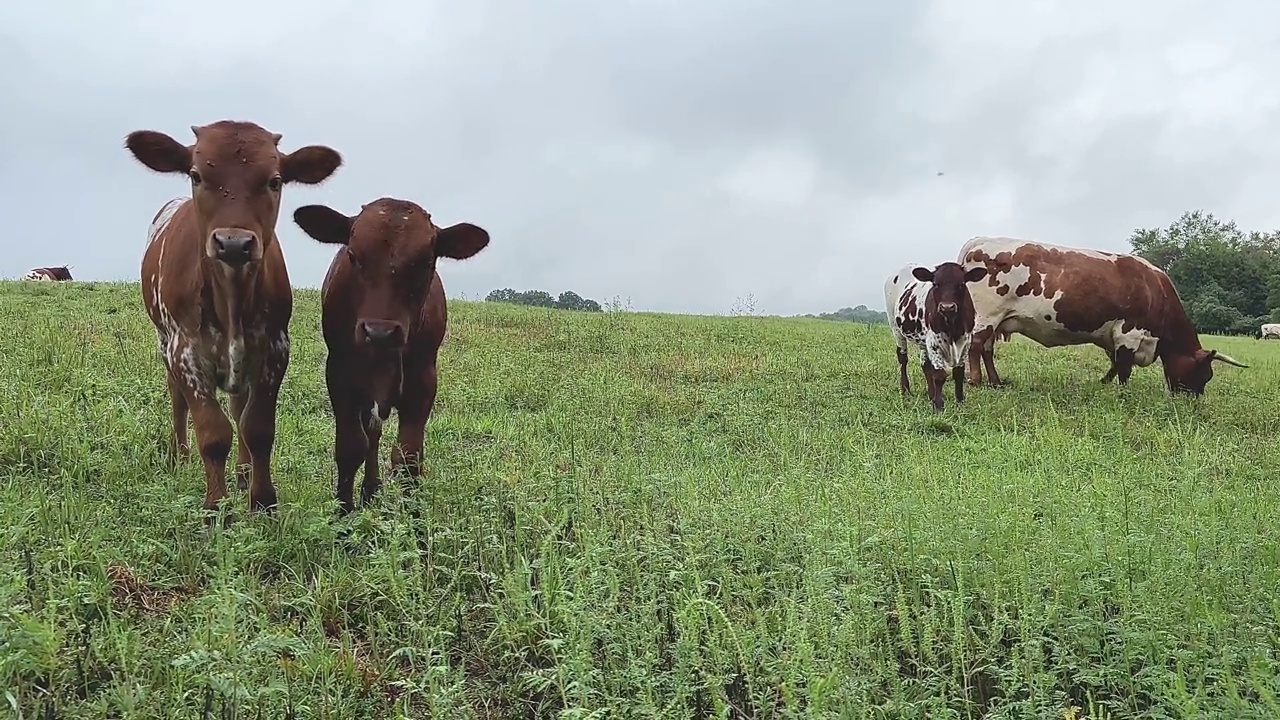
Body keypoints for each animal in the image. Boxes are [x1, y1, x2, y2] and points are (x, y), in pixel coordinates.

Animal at [124, 120, 343, 517]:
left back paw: (242, 474)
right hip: (164, 342)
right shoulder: (185, 351)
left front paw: (262, 501)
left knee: (239, 406)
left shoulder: (275, 348)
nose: (234, 244)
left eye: (274, 180)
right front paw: (216, 509)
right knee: (177, 398)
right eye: (196, 175)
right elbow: (213, 432)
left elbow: (256, 428)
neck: (231, 299)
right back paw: (179, 457)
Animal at [293, 194, 488, 509]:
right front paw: (343, 515)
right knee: (371, 435)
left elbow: (409, 457)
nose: (379, 332)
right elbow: (350, 448)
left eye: (426, 263)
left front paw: (413, 520)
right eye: (353, 256)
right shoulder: (340, 376)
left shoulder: (423, 381)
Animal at [890, 258, 988, 409]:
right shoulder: (934, 342)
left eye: (961, 284)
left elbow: (958, 373)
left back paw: (930, 393)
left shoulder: (965, 341)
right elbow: (939, 375)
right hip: (896, 328)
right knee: (903, 358)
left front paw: (959, 401)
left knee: (925, 364)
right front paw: (938, 405)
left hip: (922, 338)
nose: (947, 307)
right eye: (935, 284)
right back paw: (905, 389)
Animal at [957, 234, 1244, 392]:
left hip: (996, 320)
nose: (1193, 400)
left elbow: (1115, 363)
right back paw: (976, 380)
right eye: (1204, 375)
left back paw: (996, 382)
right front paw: (1122, 392)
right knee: (977, 347)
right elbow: (1124, 368)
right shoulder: (1129, 333)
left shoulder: (1114, 336)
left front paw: (1104, 383)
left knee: (987, 350)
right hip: (986, 316)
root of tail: (980, 240)